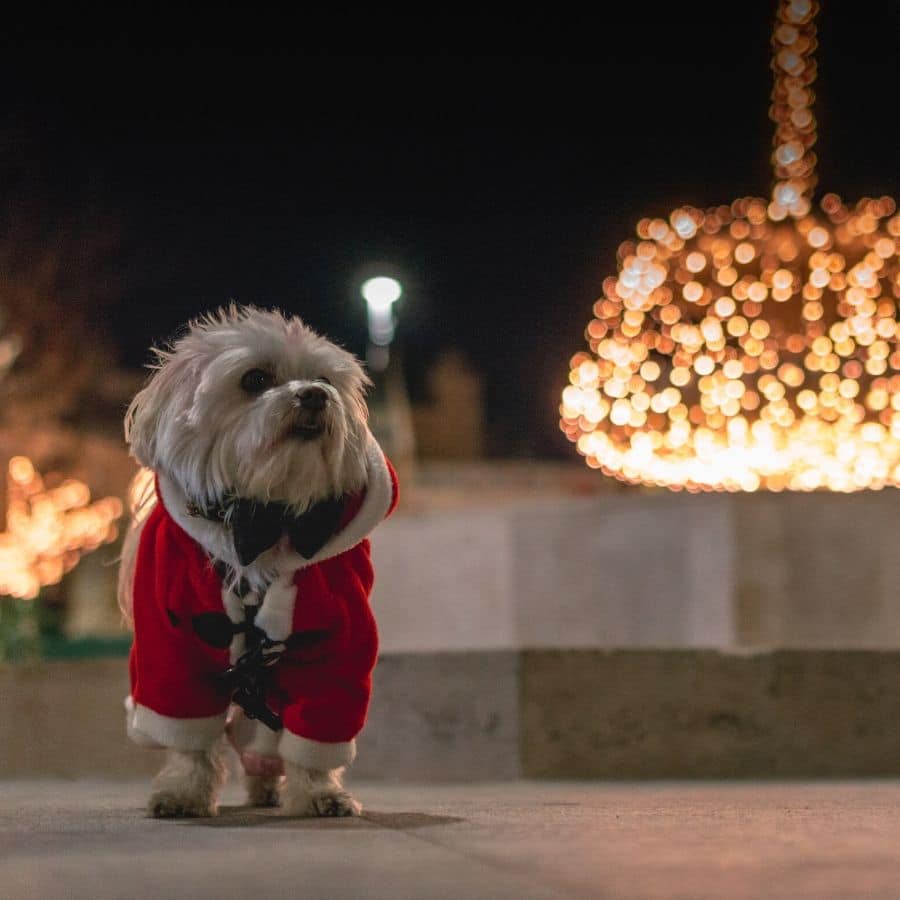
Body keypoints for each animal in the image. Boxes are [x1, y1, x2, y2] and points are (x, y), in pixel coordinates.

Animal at [117, 306, 398, 820]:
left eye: (324, 379)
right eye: (255, 379)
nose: (315, 395)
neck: (264, 516)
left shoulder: (337, 637)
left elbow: (320, 722)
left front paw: (319, 792)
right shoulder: (172, 642)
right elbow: (187, 729)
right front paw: (184, 791)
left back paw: (267, 783)